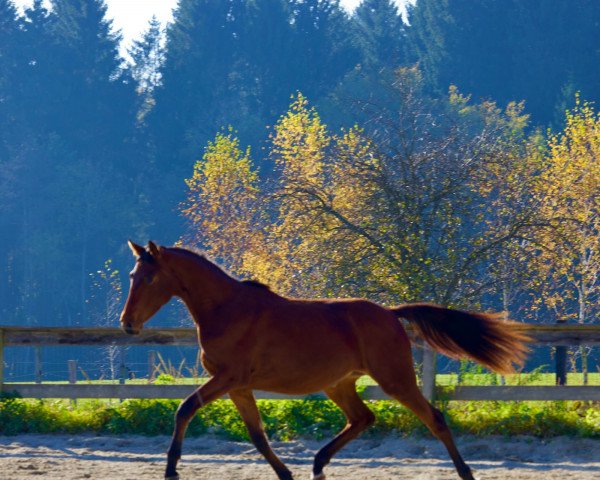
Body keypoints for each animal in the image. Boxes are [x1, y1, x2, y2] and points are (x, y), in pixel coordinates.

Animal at [119, 240, 528, 480]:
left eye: (150, 279)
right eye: (132, 274)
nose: (127, 324)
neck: (226, 309)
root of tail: (390, 313)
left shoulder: (228, 379)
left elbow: (185, 408)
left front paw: (171, 470)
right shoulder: (239, 387)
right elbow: (257, 435)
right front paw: (286, 475)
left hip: (395, 379)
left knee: (435, 419)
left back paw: (466, 473)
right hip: (339, 383)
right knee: (363, 418)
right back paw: (317, 464)